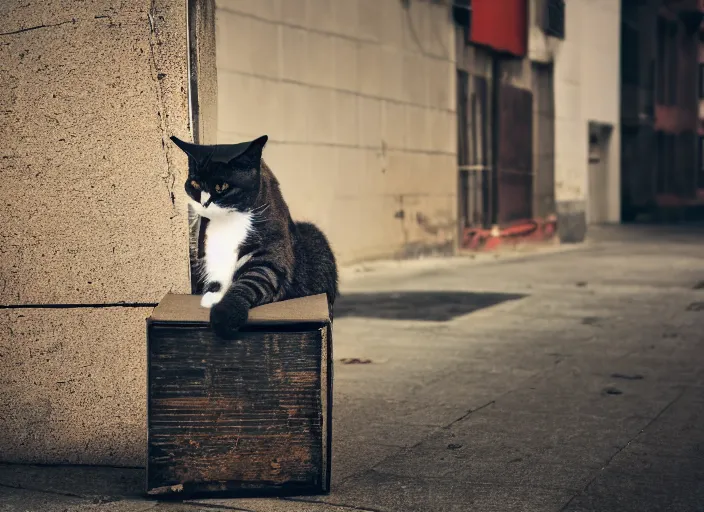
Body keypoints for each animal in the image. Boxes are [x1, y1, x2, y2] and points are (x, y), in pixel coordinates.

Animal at [169, 135, 336, 340]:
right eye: (194, 185)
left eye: (222, 186)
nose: (204, 203)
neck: (226, 224)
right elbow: (215, 280)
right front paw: (211, 296)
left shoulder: (271, 257)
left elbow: (250, 282)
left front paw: (223, 317)